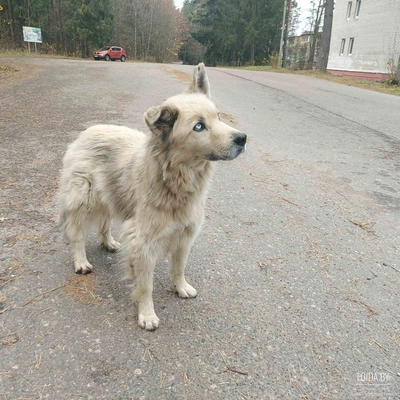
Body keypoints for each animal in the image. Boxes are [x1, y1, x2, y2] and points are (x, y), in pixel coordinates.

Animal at [58, 64, 247, 330]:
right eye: (199, 127)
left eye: (218, 116)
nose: (242, 139)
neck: (175, 179)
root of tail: (89, 130)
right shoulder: (143, 243)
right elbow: (145, 285)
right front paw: (146, 314)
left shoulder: (185, 234)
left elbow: (178, 267)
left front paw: (181, 287)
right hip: (82, 200)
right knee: (76, 234)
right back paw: (80, 262)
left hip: (110, 195)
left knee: (104, 222)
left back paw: (108, 242)